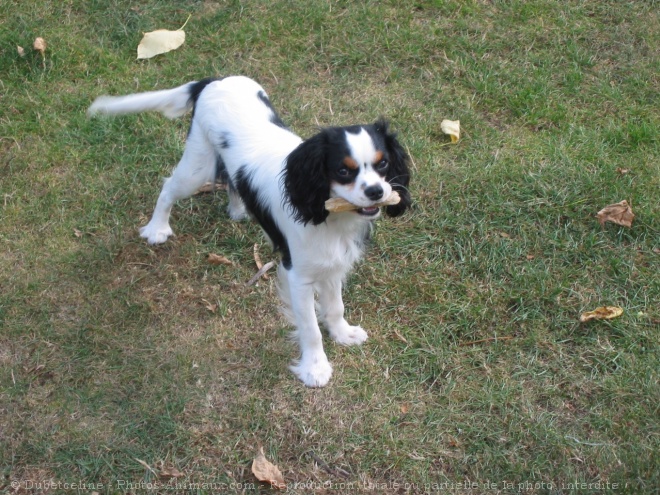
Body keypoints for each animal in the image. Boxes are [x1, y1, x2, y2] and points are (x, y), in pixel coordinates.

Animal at [87, 76, 408, 388]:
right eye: (343, 171)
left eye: (383, 163)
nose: (377, 191)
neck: (330, 214)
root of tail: (213, 79)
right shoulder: (298, 275)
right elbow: (310, 328)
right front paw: (315, 369)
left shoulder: (332, 262)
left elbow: (335, 306)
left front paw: (343, 334)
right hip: (198, 167)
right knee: (168, 188)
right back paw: (157, 228)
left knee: (231, 181)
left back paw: (238, 209)